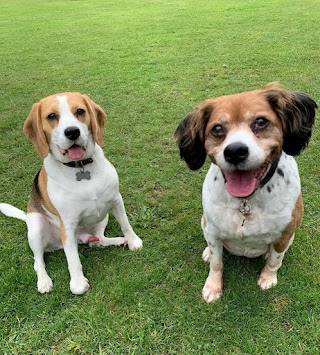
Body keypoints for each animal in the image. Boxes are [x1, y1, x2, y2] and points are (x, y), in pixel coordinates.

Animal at [0, 93, 142, 296]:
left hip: (102, 216)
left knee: (98, 241)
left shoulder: (116, 200)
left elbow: (126, 224)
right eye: (51, 116)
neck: (80, 167)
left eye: (80, 111)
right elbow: (72, 257)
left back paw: (118, 241)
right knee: (38, 261)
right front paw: (77, 283)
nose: (72, 132)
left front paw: (132, 240)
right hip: (36, 225)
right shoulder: (67, 224)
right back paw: (44, 282)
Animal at [176, 82, 316, 304]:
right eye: (217, 128)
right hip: (204, 222)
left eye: (260, 121)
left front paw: (268, 278)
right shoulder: (213, 231)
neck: (246, 202)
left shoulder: (285, 234)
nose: (235, 152)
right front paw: (213, 287)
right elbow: (216, 263)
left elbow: (276, 259)